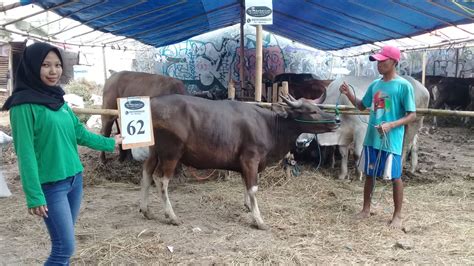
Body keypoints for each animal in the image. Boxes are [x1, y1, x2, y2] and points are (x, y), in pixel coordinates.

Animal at [139, 93, 338, 229]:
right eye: (312, 111)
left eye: (319, 108)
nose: (336, 120)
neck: (269, 126)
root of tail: (153, 104)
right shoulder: (251, 158)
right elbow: (253, 187)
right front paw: (259, 220)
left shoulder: (246, 163)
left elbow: (245, 184)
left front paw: (247, 206)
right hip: (171, 154)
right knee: (161, 179)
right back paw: (171, 216)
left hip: (154, 151)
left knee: (147, 173)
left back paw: (146, 210)